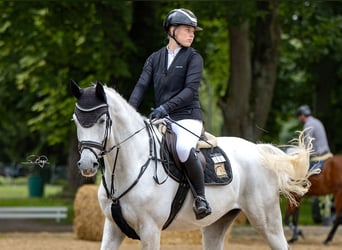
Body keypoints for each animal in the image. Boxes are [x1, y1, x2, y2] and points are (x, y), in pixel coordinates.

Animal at [71, 80, 312, 250]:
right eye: (75, 120)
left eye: (102, 120)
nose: (87, 164)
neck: (126, 168)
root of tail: (258, 151)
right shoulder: (112, 228)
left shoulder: (150, 229)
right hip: (217, 224)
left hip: (267, 222)